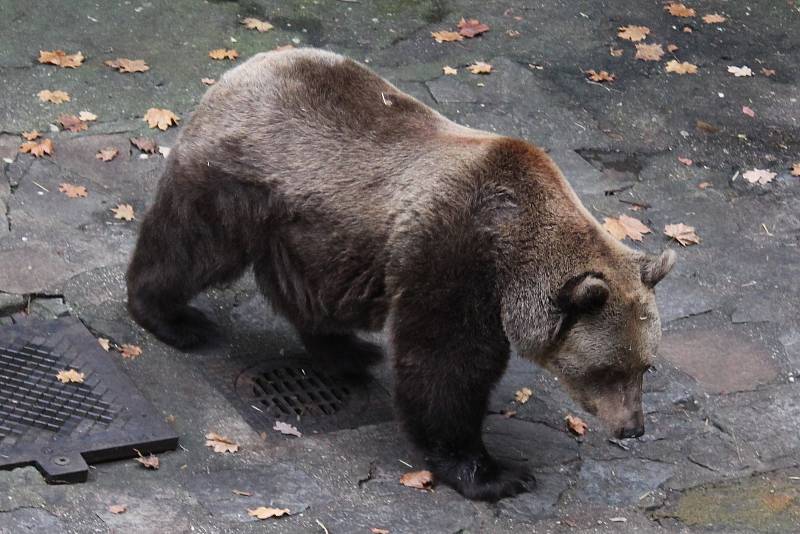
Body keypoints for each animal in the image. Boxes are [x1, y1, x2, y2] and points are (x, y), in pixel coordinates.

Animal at [126, 48, 676, 504]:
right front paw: (493, 473)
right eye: (607, 370)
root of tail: (238, 70)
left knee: (307, 294)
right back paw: (172, 318)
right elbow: (445, 364)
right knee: (192, 245)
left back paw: (348, 351)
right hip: (241, 182)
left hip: (314, 230)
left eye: (645, 366)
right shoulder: (454, 256)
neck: (513, 249)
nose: (632, 428)